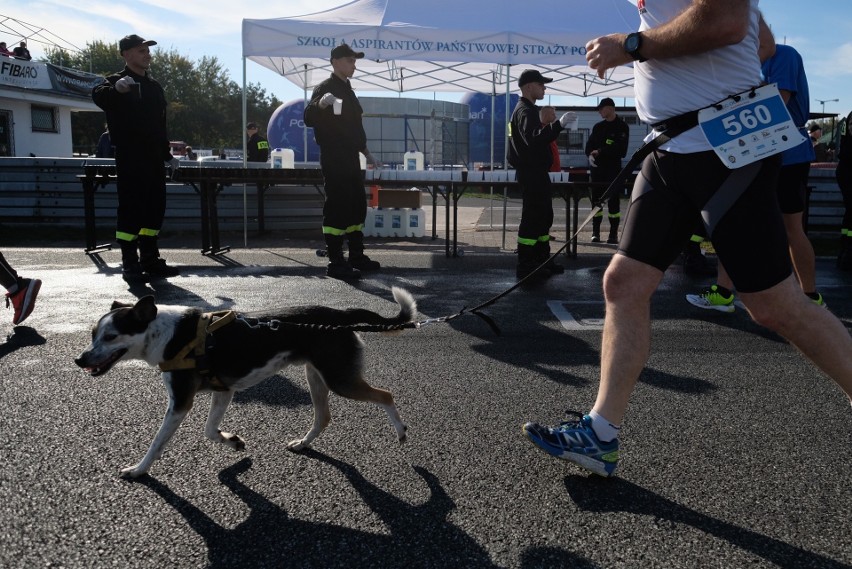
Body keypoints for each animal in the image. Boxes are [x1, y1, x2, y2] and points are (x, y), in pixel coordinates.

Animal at [76, 286, 416, 478]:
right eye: (93, 334)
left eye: (111, 336)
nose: (79, 359)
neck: (169, 334)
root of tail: (342, 315)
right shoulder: (223, 391)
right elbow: (210, 431)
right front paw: (233, 441)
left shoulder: (180, 402)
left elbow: (157, 442)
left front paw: (138, 470)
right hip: (317, 376)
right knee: (323, 417)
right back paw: (303, 443)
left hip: (339, 380)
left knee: (386, 395)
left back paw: (400, 432)